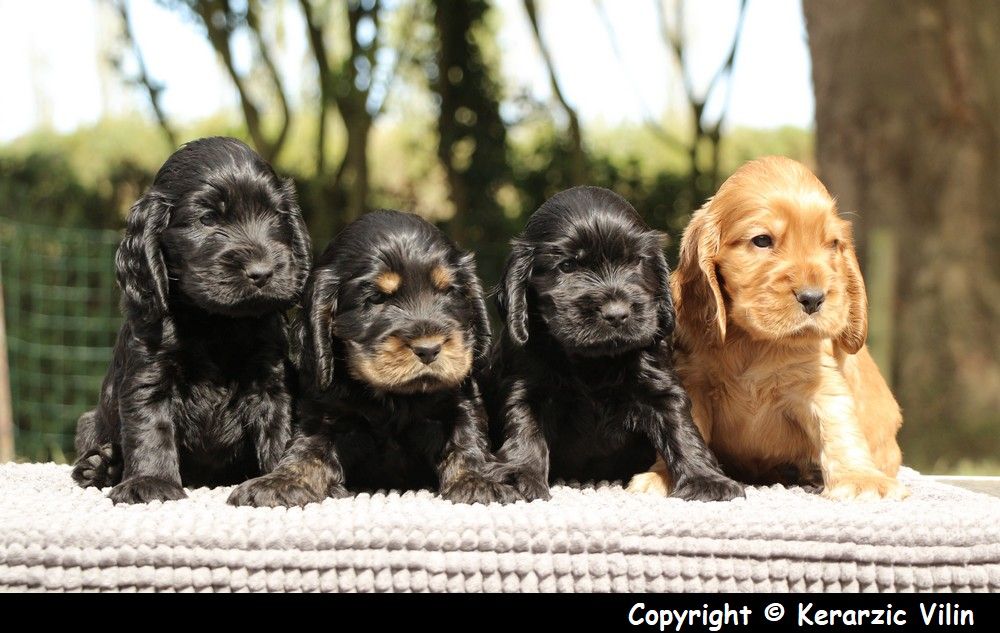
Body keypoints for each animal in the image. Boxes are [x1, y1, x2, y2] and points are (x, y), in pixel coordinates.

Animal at [71, 137, 310, 504]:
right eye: (207, 219)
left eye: (275, 216)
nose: (262, 273)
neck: (215, 322)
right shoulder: (149, 374)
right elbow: (151, 430)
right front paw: (150, 482)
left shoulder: (272, 380)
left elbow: (278, 431)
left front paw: (279, 481)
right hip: (89, 424)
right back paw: (101, 466)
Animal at [228, 210, 516, 506]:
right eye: (376, 298)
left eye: (449, 292)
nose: (429, 349)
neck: (394, 397)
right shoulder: (324, 412)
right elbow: (308, 449)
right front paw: (281, 480)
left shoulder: (458, 402)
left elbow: (466, 438)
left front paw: (478, 479)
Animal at [484, 185, 744, 502]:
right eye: (567, 266)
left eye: (635, 261)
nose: (617, 313)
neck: (592, 361)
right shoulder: (526, 386)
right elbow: (525, 430)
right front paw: (519, 476)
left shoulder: (659, 385)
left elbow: (681, 429)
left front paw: (706, 478)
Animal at [632, 157, 908, 498]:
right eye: (762, 240)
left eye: (832, 244)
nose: (813, 298)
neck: (754, 341)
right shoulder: (695, 381)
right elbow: (687, 427)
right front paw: (665, 475)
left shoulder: (817, 383)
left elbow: (837, 426)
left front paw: (861, 478)